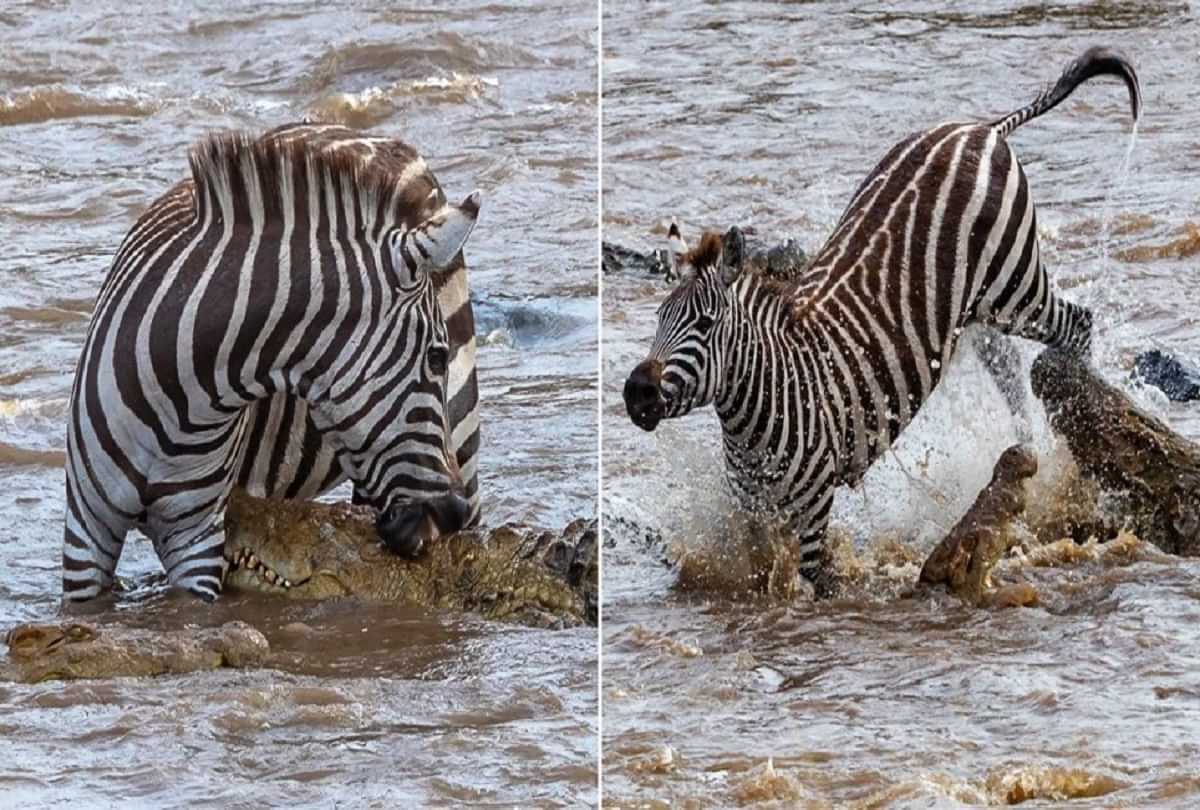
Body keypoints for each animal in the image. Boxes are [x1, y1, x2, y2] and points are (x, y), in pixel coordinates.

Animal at [63, 130, 481, 602]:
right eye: (435, 357)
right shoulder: (85, 529)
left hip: (464, 436)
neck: (182, 408)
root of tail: (386, 143)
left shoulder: (195, 541)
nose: (452, 512)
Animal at [623, 46, 1142, 595]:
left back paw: (1076, 429)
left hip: (1014, 285)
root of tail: (981, 129)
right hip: (976, 307)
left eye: (703, 324)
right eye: (658, 319)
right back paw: (1033, 437)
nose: (636, 393)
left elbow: (815, 587)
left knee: (1077, 322)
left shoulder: (813, 514)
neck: (761, 406)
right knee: (1007, 366)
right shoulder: (750, 515)